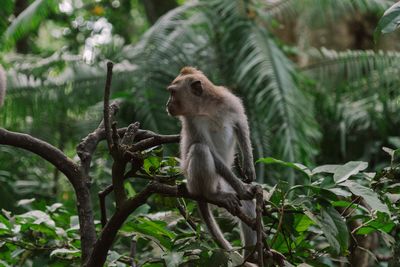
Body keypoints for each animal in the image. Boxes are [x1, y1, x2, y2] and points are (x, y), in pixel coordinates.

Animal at [165, 66, 256, 262]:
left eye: (172, 93)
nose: (167, 104)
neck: (207, 107)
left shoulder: (230, 101)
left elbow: (241, 125)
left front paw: (249, 166)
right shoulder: (193, 121)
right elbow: (207, 149)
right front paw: (241, 187)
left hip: (223, 184)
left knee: (249, 205)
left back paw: (252, 257)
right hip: (195, 183)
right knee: (200, 150)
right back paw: (212, 195)